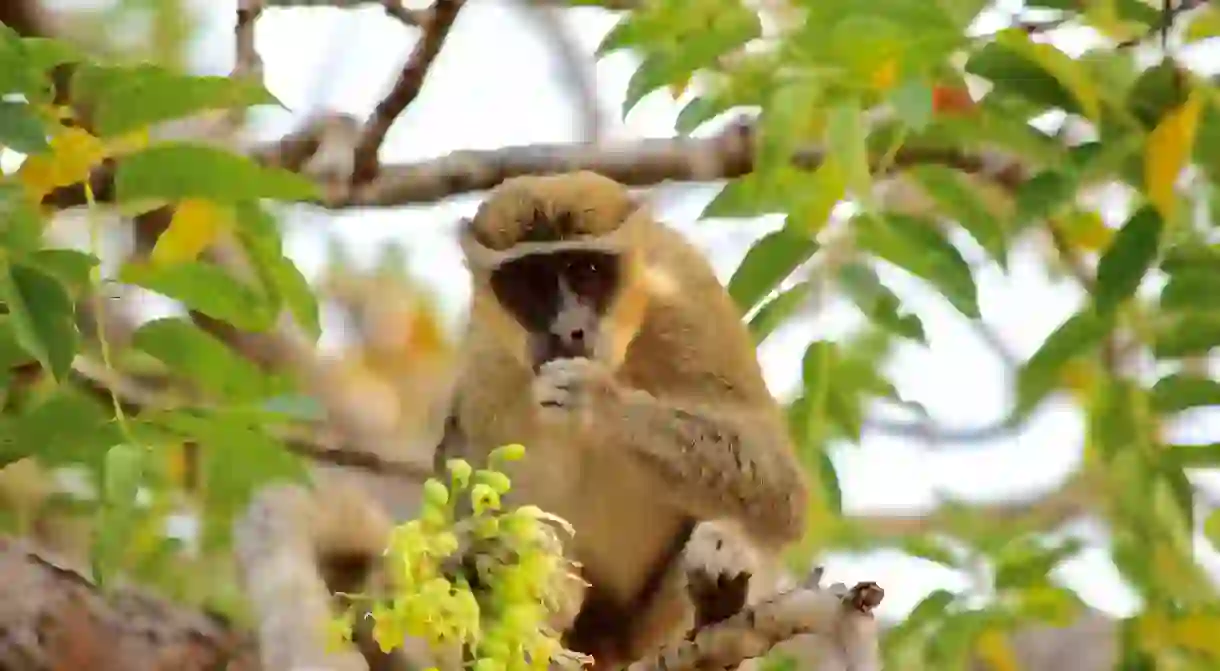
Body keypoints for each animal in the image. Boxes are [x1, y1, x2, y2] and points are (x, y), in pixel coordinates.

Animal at [434, 172, 814, 668]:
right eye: (531, 281)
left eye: (586, 271)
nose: (567, 330)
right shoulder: (486, 357)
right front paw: (480, 556)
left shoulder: (685, 302)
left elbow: (781, 490)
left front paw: (600, 400)